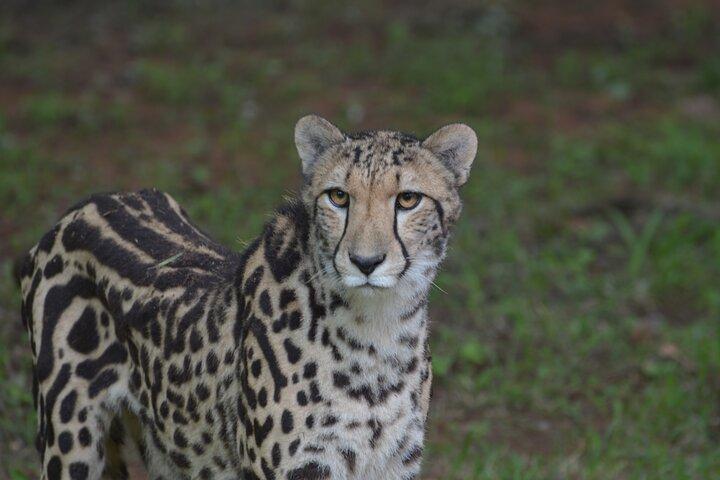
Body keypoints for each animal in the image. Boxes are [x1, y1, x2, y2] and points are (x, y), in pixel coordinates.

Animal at [17, 114, 477, 480]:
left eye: (408, 199)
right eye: (338, 196)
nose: (365, 262)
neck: (376, 333)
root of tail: (88, 204)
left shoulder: (393, 466)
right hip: (70, 444)